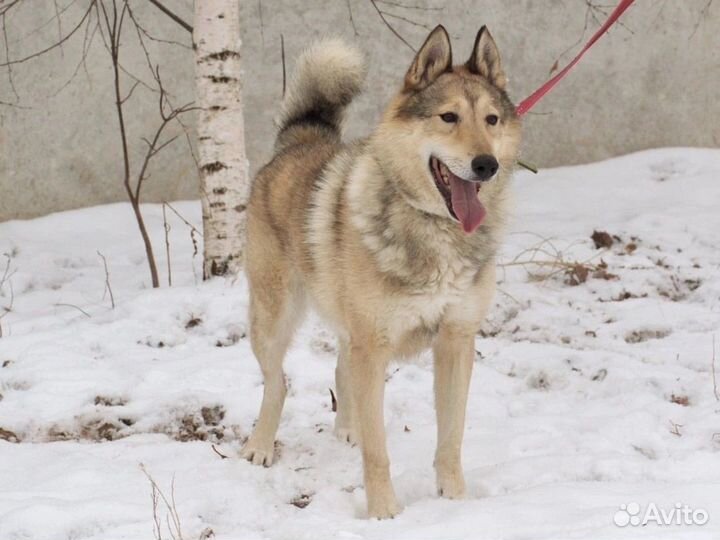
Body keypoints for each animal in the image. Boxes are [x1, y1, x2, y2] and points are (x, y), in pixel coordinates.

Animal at [243, 26, 524, 520]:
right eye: (448, 117)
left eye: (491, 120)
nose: (486, 165)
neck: (434, 228)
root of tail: (299, 139)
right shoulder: (373, 346)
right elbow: (378, 451)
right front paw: (383, 513)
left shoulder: (456, 341)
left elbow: (452, 436)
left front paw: (455, 501)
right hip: (273, 317)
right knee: (278, 382)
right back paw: (261, 444)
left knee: (340, 370)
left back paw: (347, 428)